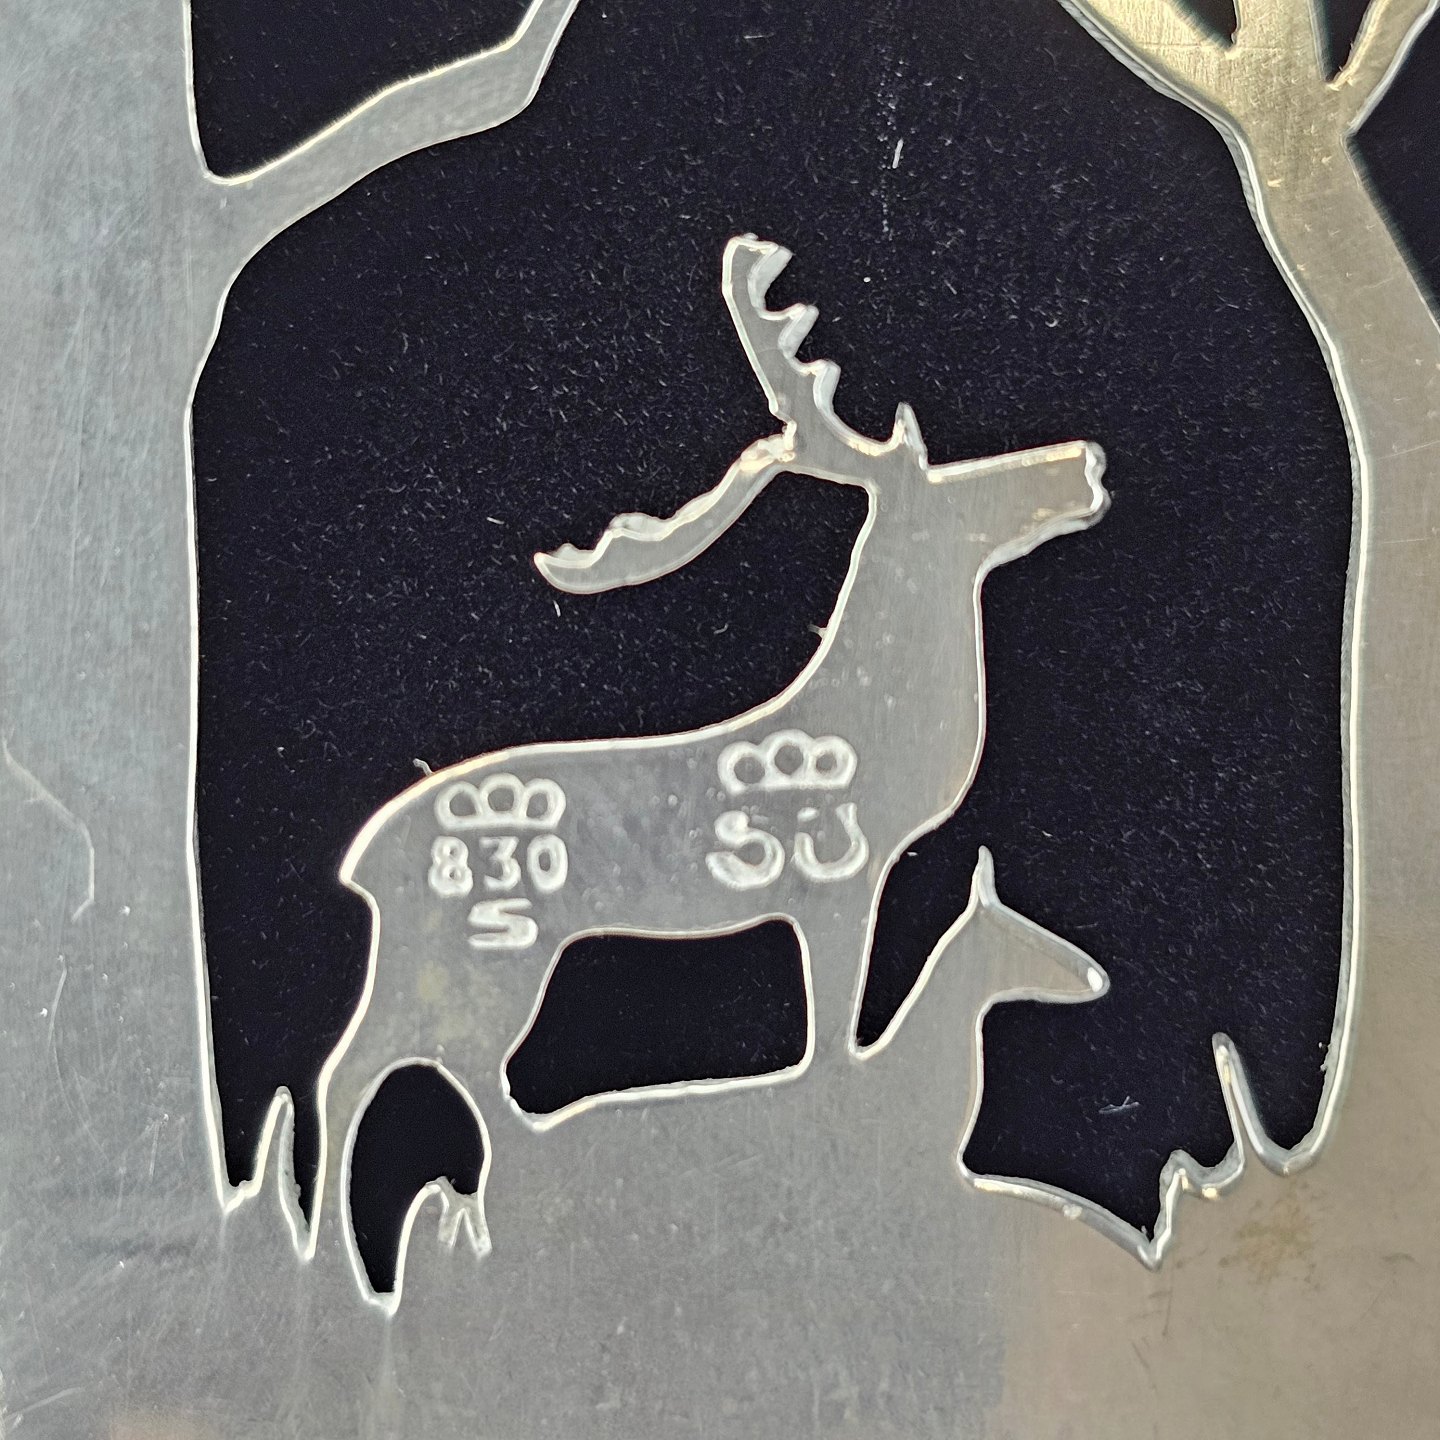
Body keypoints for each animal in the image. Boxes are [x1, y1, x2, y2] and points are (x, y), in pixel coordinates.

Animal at [310, 234, 1109, 1257]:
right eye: (952, 486)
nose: (1081, 463)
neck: (872, 732)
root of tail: (362, 864)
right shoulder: (835, 884)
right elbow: (830, 1040)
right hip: (479, 951)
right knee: (370, 1066)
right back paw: (340, 1248)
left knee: (414, 1066)